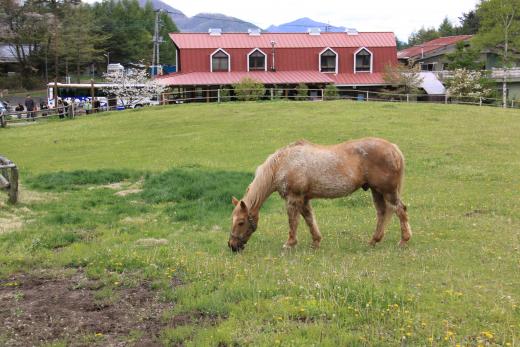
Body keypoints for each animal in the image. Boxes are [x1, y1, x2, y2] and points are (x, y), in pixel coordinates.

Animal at [230, 138, 412, 253]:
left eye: (241, 222)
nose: (232, 246)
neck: (283, 164)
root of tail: (393, 148)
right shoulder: (304, 200)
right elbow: (309, 220)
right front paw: (316, 242)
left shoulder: (293, 199)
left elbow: (293, 222)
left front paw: (289, 244)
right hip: (377, 191)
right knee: (382, 212)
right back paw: (373, 241)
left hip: (388, 192)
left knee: (400, 210)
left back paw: (403, 241)